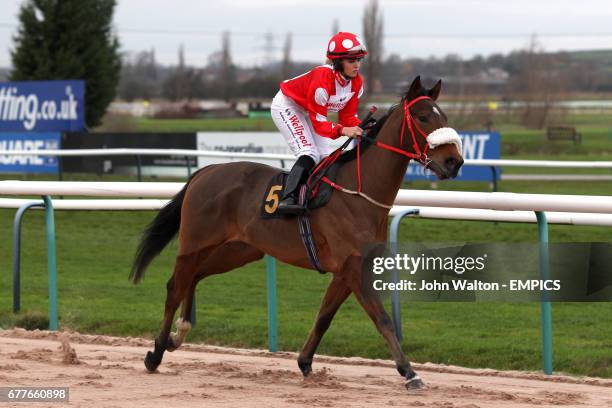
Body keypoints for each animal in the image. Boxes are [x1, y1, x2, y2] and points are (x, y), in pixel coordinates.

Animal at [130, 75, 464, 390]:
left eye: (445, 116)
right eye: (422, 117)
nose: (455, 161)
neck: (359, 191)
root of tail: (204, 172)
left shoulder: (346, 270)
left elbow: (324, 316)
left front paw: (305, 362)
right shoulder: (354, 268)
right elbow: (382, 319)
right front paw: (409, 372)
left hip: (240, 250)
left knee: (195, 276)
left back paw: (179, 334)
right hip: (195, 242)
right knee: (175, 285)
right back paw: (156, 352)